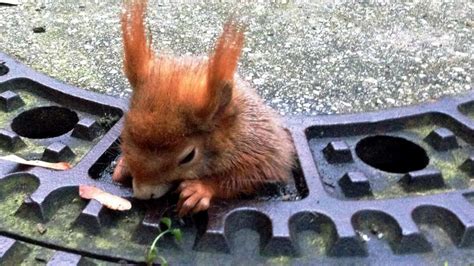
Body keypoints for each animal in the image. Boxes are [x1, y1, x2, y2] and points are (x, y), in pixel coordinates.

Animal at [113, 0, 294, 216]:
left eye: (188, 157)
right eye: (124, 133)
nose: (142, 193)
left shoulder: (257, 145)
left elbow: (252, 174)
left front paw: (200, 190)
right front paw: (122, 165)